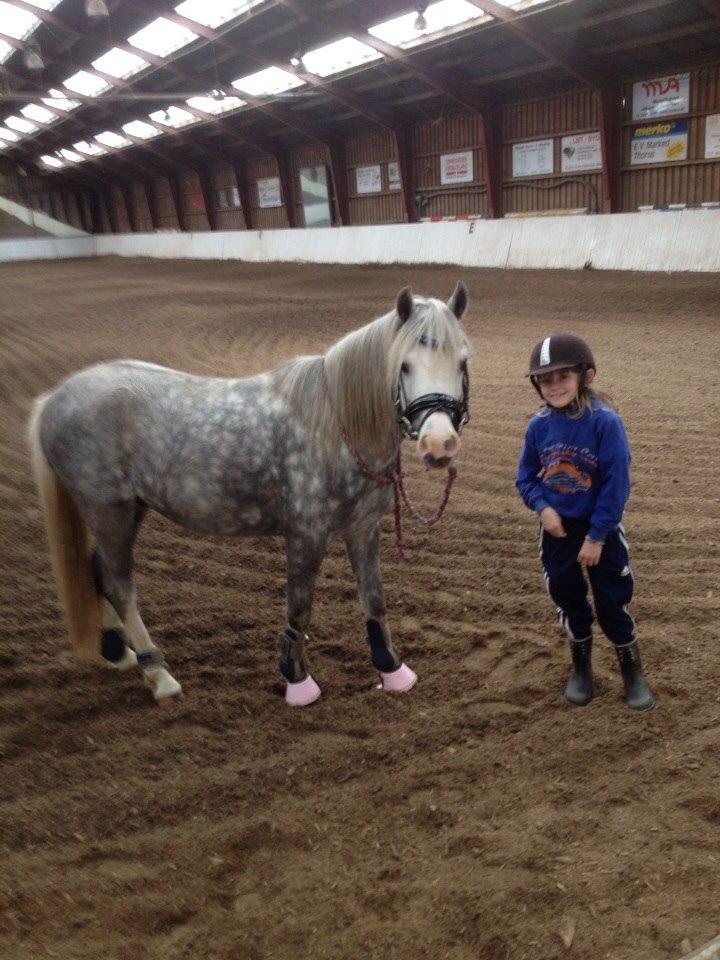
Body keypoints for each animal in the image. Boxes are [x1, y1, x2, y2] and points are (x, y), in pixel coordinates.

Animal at [28, 283, 470, 707]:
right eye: (404, 364)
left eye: (462, 360)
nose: (439, 444)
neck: (335, 426)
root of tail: (54, 399)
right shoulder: (306, 534)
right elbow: (300, 608)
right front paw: (297, 681)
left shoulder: (363, 526)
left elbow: (374, 599)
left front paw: (392, 670)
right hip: (108, 510)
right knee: (120, 585)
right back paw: (159, 675)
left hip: (129, 510)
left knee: (100, 572)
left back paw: (119, 652)